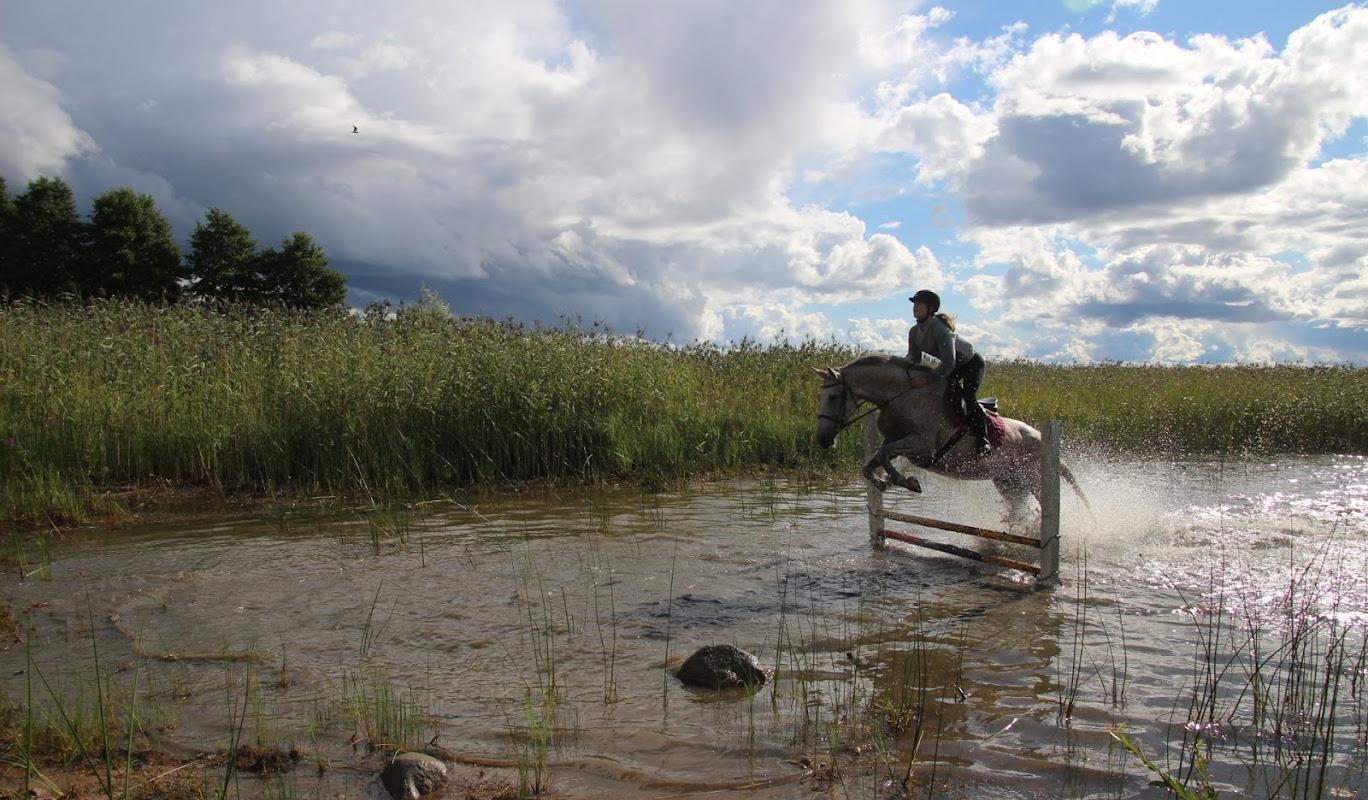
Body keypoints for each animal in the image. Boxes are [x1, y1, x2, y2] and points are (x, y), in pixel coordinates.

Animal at [809, 352, 1088, 516]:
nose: (822, 440)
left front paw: (906, 482)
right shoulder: (899, 443)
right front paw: (883, 482)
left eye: (833, 397)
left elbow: (884, 454)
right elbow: (872, 462)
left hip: (1032, 478)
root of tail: (1040, 437)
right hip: (1008, 482)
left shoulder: (923, 447)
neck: (902, 396)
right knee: (1019, 509)